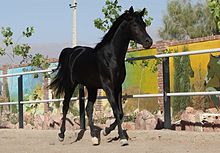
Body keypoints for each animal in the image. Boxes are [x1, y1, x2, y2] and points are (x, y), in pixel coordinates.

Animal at [49, 6, 152, 146]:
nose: (149, 42)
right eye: (135, 25)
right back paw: (61, 135)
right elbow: (116, 111)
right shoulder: (108, 87)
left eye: (144, 24)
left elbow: (120, 113)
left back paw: (94, 137)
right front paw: (122, 138)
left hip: (92, 87)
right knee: (65, 106)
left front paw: (106, 131)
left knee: (88, 109)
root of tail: (72, 51)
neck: (111, 57)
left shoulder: (118, 87)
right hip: (71, 85)